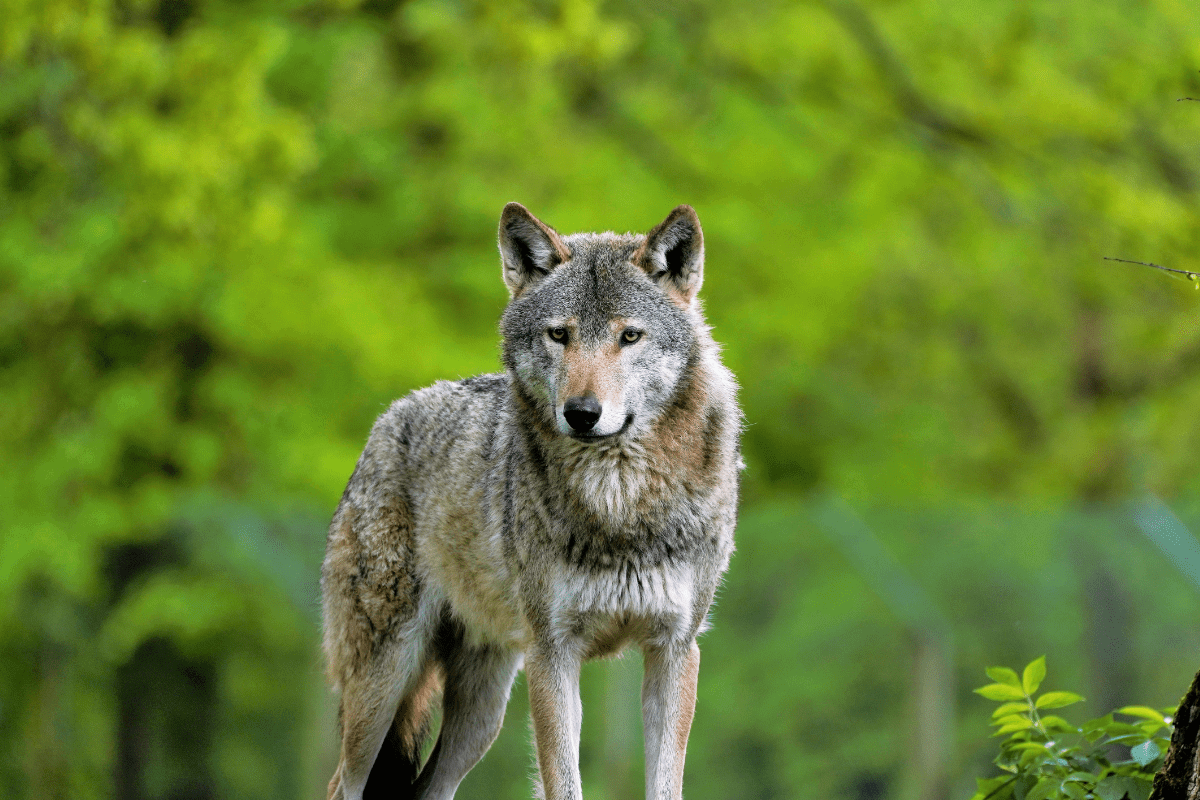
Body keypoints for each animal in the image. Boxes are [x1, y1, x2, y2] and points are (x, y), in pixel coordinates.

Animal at [321, 202, 741, 800]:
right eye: (559, 335)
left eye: (629, 336)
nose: (582, 413)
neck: (619, 503)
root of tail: (386, 420)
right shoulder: (553, 653)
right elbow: (562, 782)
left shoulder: (675, 649)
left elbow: (664, 785)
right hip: (385, 681)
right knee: (343, 784)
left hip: (482, 714)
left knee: (430, 788)